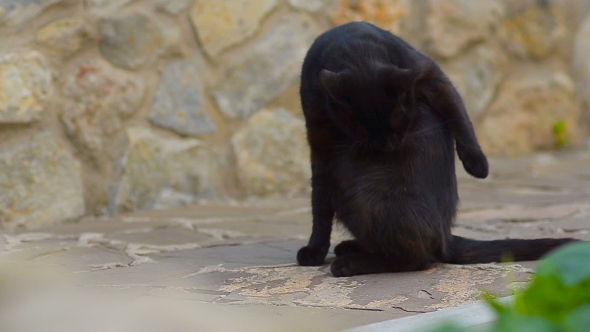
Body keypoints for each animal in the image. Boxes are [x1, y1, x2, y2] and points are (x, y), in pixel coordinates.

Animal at [298, 21, 576, 278]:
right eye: (364, 133)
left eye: (401, 122)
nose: (388, 146)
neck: (356, 52)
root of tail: (446, 237)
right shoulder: (319, 143)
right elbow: (319, 207)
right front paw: (315, 250)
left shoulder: (431, 75)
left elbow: (459, 114)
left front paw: (477, 164)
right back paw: (350, 248)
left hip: (369, 199)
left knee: (417, 259)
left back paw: (351, 263)